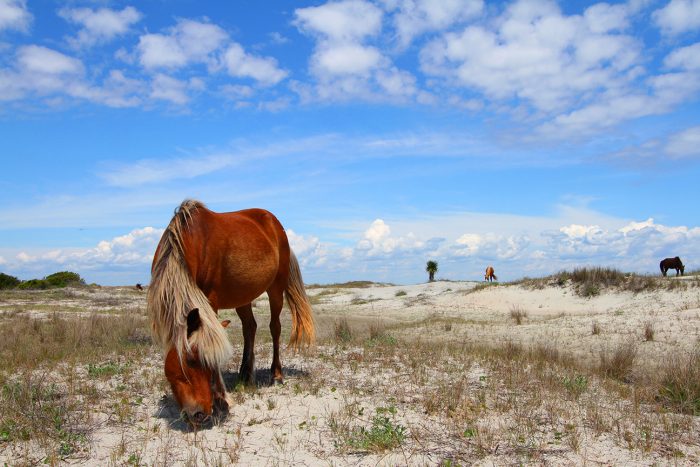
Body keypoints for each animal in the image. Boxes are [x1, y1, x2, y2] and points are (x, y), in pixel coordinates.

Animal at [149, 199, 316, 426]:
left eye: (198, 359)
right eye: (191, 360)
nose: (198, 414)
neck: (190, 242)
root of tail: (275, 223)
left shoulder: (211, 300)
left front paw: (221, 399)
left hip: (275, 289)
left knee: (275, 328)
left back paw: (276, 375)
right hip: (243, 296)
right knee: (250, 327)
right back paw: (245, 374)